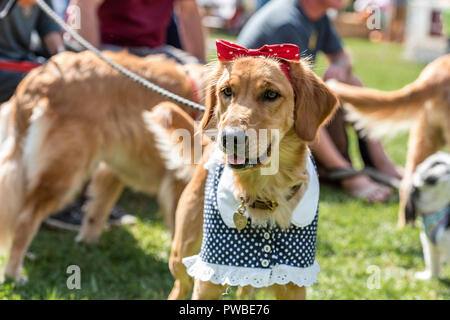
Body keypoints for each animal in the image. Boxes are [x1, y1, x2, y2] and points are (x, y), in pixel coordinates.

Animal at [0, 50, 207, 282]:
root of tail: (38, 79)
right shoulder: (180, 182)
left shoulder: (111, 170)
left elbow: (97, 209)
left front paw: (87, 242)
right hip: (64, 172)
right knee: (25, 220)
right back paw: (13, 273)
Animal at [169, 40, 338, 300]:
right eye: (227, 91)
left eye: (271, 94)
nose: (229, 137)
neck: (263, 191)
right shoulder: (208, 279)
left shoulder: (293, 284)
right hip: (182, 251)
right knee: (180, 284)